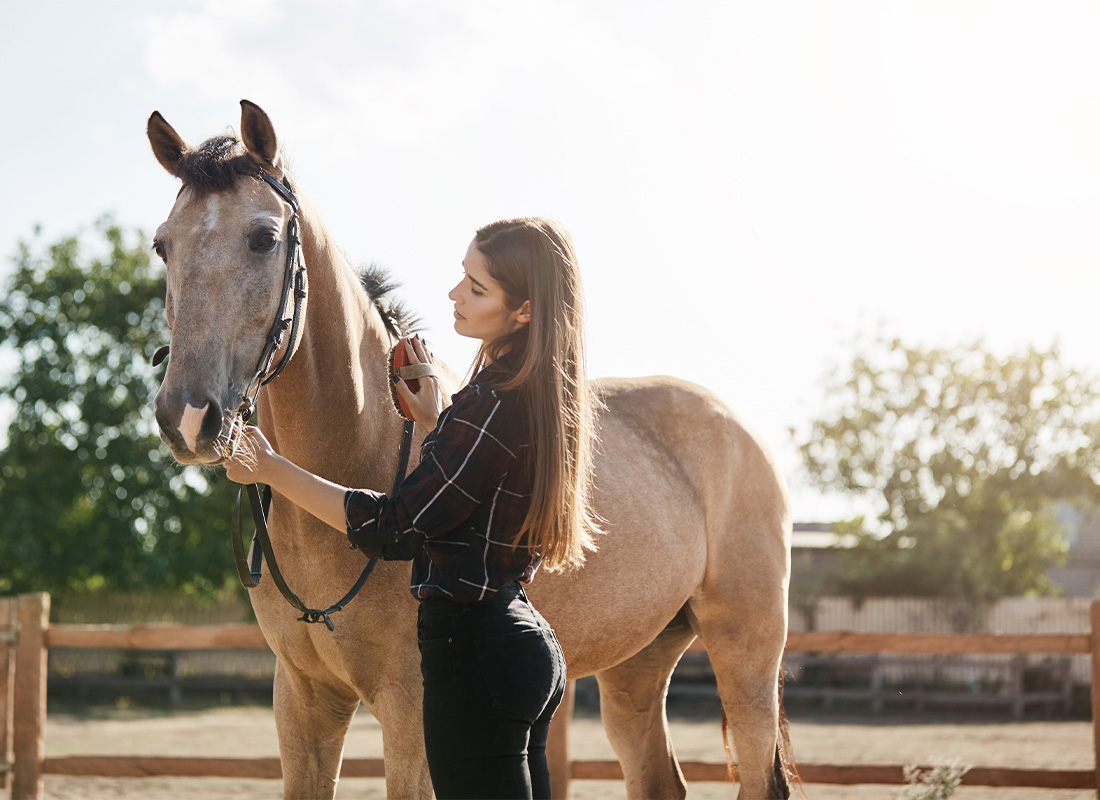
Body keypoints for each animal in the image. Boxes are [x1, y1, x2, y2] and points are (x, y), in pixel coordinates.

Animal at [150, 101, 796, 800]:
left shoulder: (412, 711)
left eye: (264, 238)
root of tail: (740, 428)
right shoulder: (303, 700)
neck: (363, 444)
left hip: (747, 654)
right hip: (638, 664)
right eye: (162, 245)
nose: (187, 418)